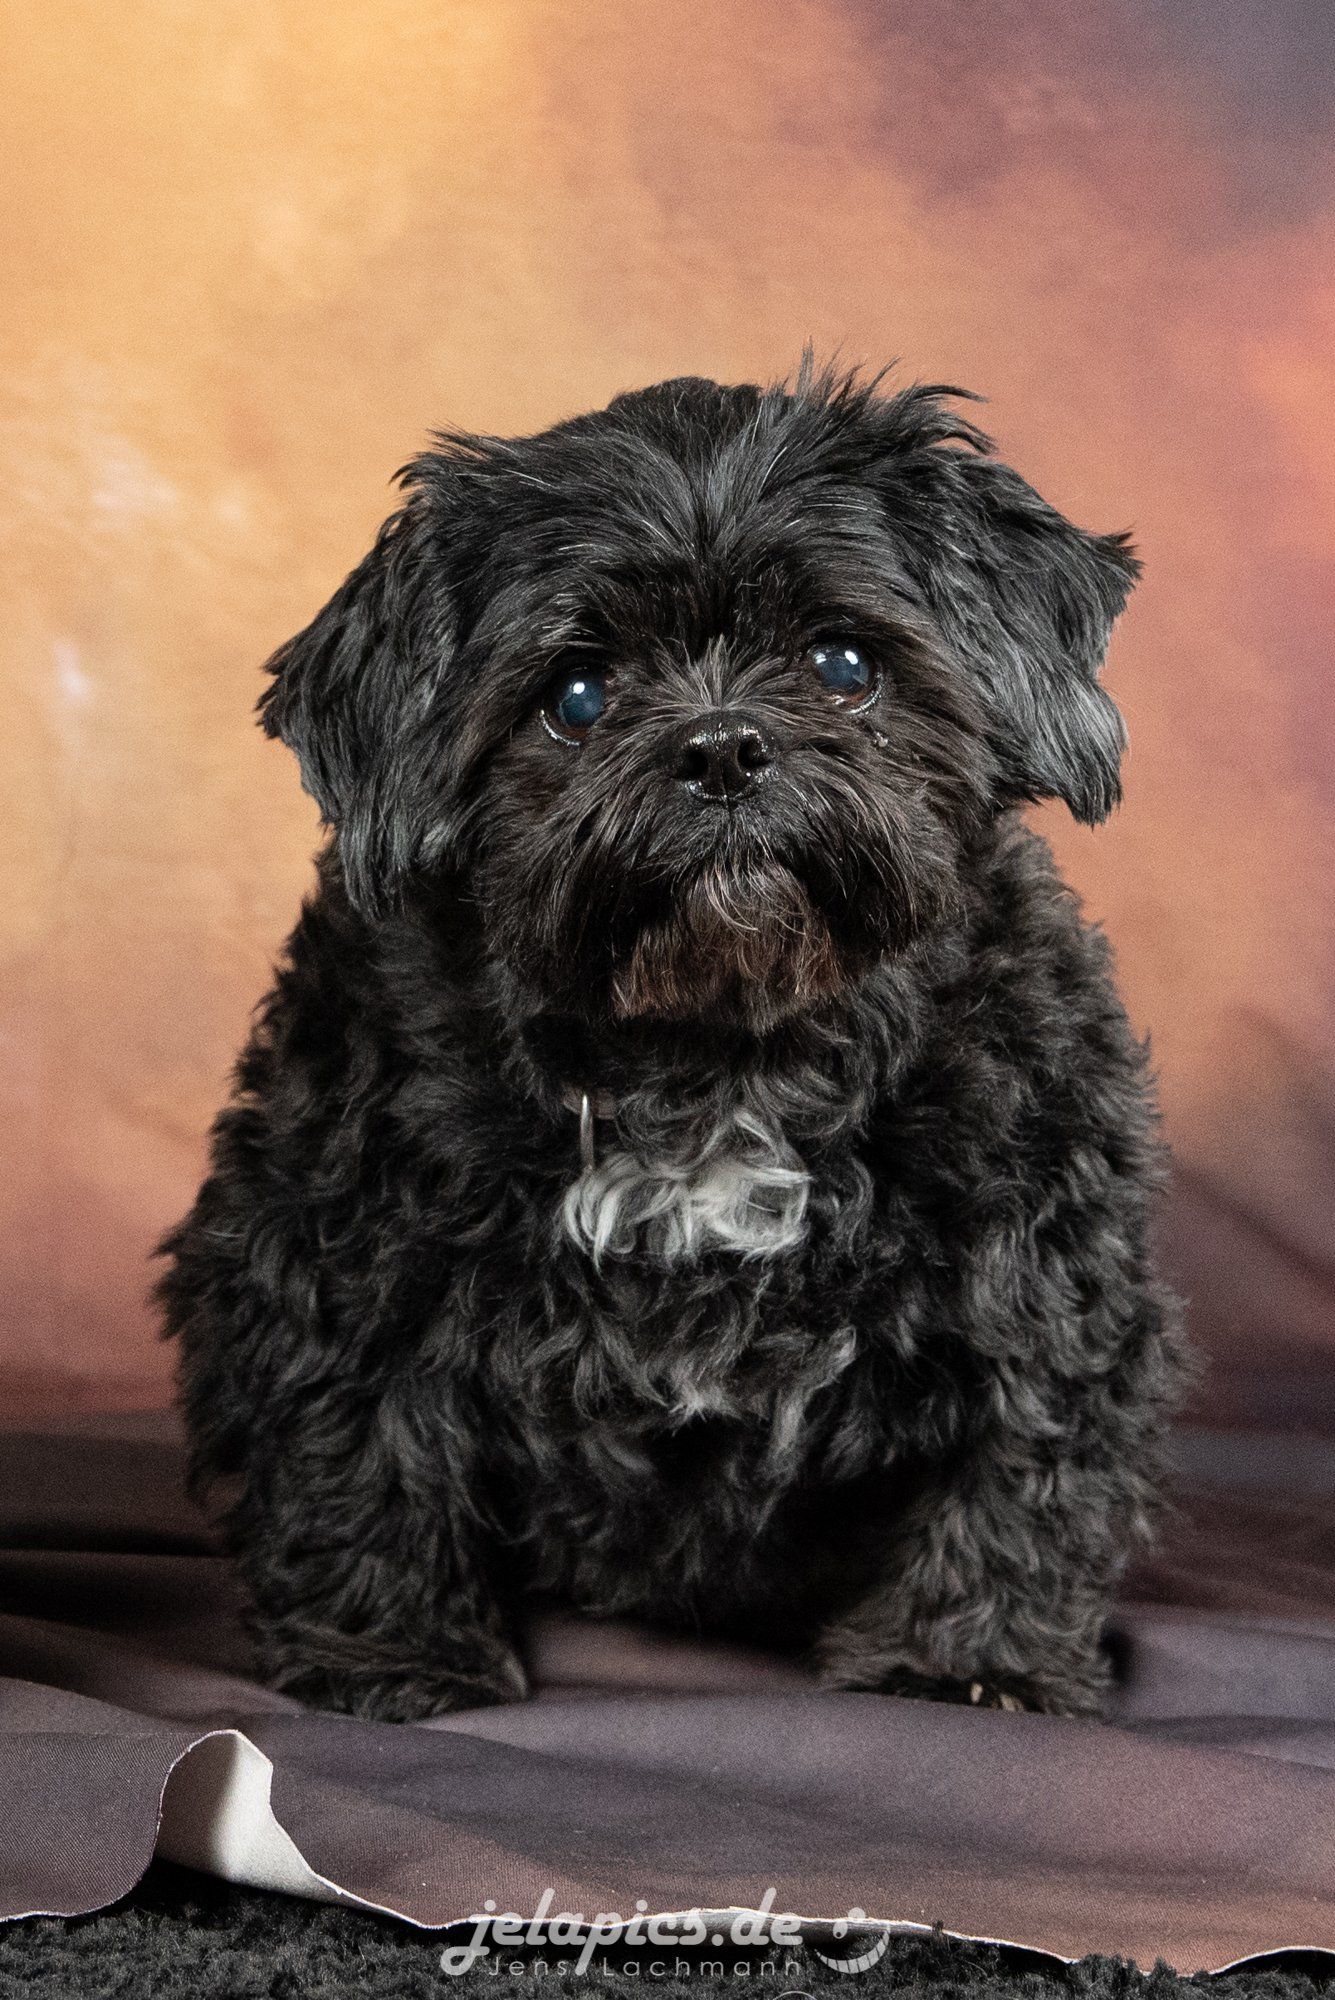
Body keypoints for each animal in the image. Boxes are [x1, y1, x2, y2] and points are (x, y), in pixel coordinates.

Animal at [159, 361, 1187, 1722]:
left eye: (843, 661)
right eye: (578, 697)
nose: (722, 745)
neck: (717, 1050)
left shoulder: (1047, 1256)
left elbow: (1023, 1455)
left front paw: (968, 1662)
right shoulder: (329, 1253)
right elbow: (358, 1449)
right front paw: (392, 1654)